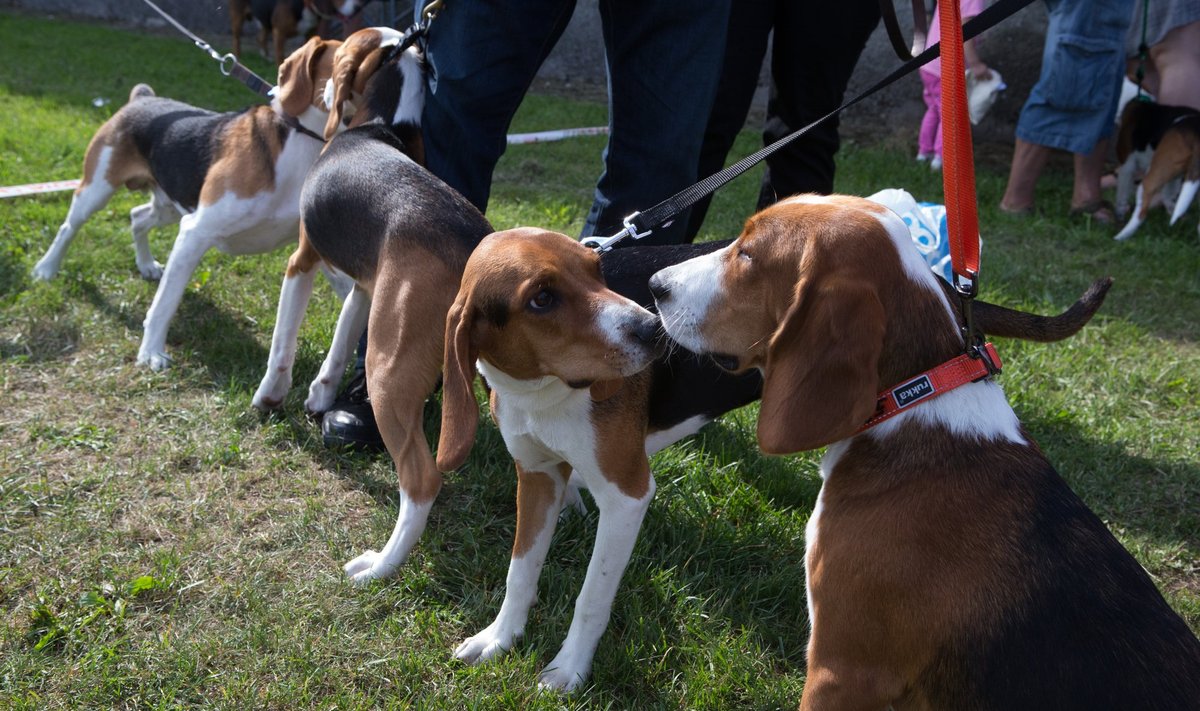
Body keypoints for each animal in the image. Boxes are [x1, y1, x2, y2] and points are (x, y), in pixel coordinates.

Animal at [30, 37, 350, 372]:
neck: (302, 140)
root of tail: (142, 98)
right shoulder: (194, 231)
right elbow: (165, 302)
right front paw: (151, 352)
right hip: (97, 190)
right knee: (69, 227)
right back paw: (46, 269)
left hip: (169, 206)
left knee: (137, 217)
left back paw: (146, 265)